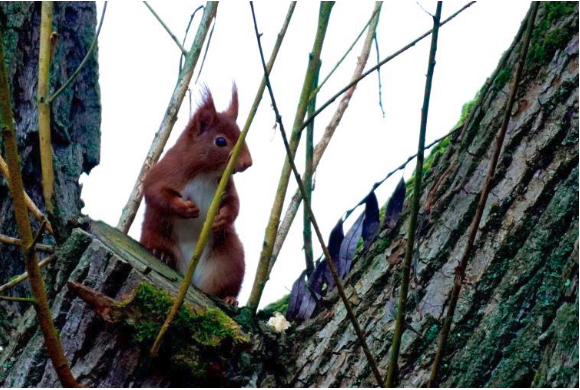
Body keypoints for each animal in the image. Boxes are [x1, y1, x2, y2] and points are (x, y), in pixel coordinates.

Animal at [140, 87, 251, 306]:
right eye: (220, 141)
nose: (247, 163)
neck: (205, 173)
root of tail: (189, 275)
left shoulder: (226, 185)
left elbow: (234, 204)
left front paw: (222, 218)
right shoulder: (164, 172)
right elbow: (155, 193)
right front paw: (185, 208)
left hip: (229, 259)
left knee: (224, 284)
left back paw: (228, 298)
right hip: (155, 233)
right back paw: (162, 254)